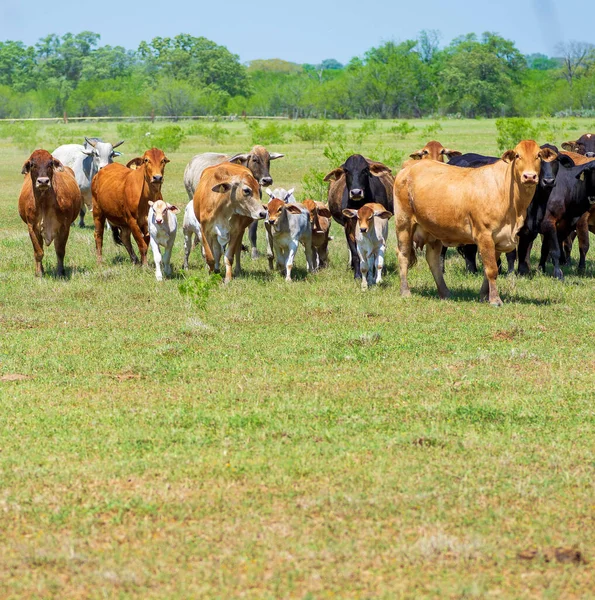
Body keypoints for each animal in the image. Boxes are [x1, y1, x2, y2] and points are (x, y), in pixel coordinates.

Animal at [394, 141, 556, 304]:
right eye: (517, 155)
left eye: (538, 156)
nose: (530, 176)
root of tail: (408, 168)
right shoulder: (484, 236)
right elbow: (491, 270)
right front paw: (495, 299)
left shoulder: (499, 239)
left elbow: (489, 269)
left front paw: (484, 295)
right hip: (404, 224)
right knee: (403, 255)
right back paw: (405, 291)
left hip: (434, 231)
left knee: (433, 261)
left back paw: (445, 292)